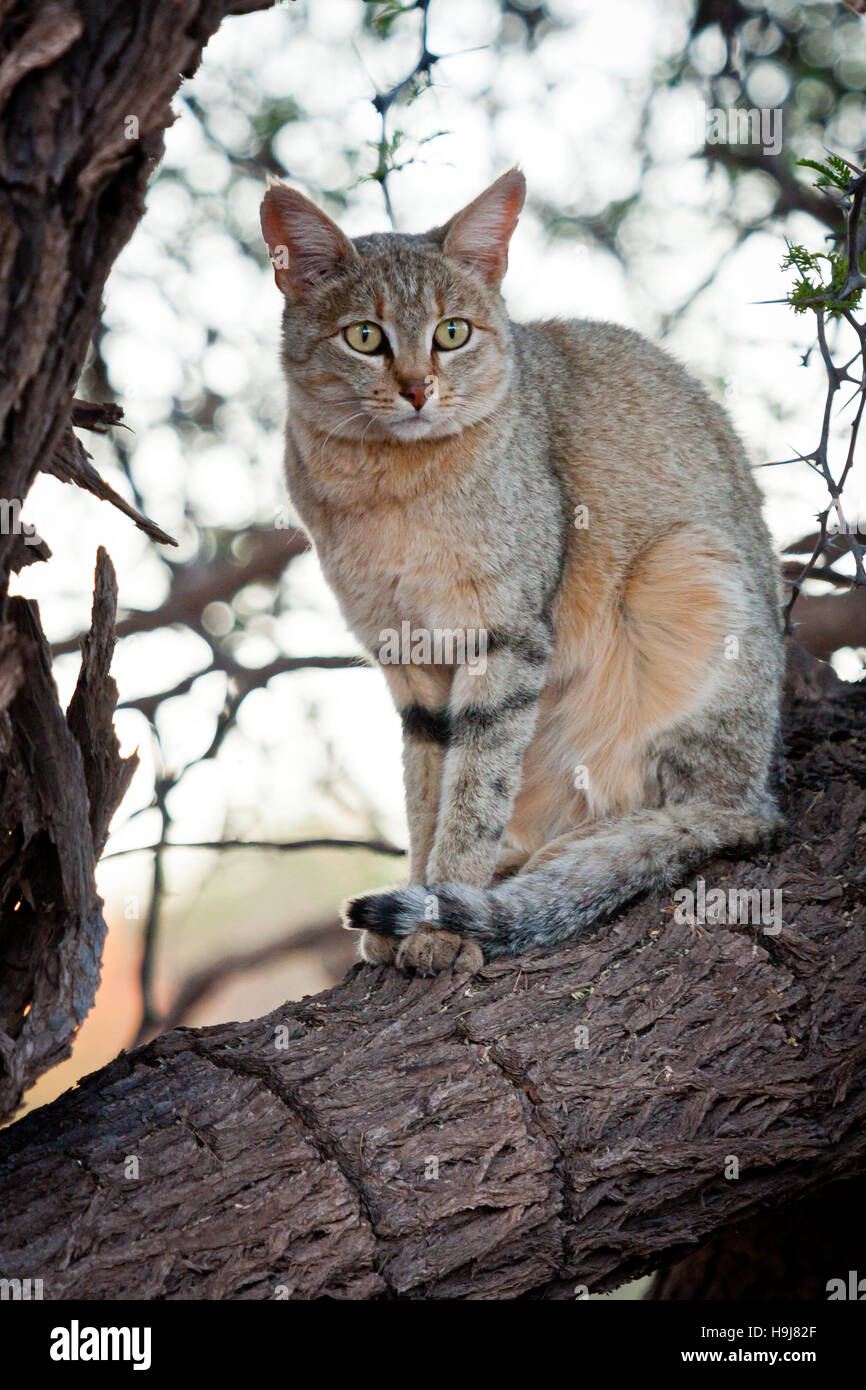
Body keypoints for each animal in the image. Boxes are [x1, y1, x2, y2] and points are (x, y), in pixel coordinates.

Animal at [261, 168, 783, 978]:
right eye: (364, 337)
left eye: (452, 332)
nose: (417, 388)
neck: (386, 486)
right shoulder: (407, 655)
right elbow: (427, 791)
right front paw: (424, 892)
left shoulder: (503, 635)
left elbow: (475, 788)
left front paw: (442, 915)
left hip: (690, 574)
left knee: (700, 813)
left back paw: (561, 861)